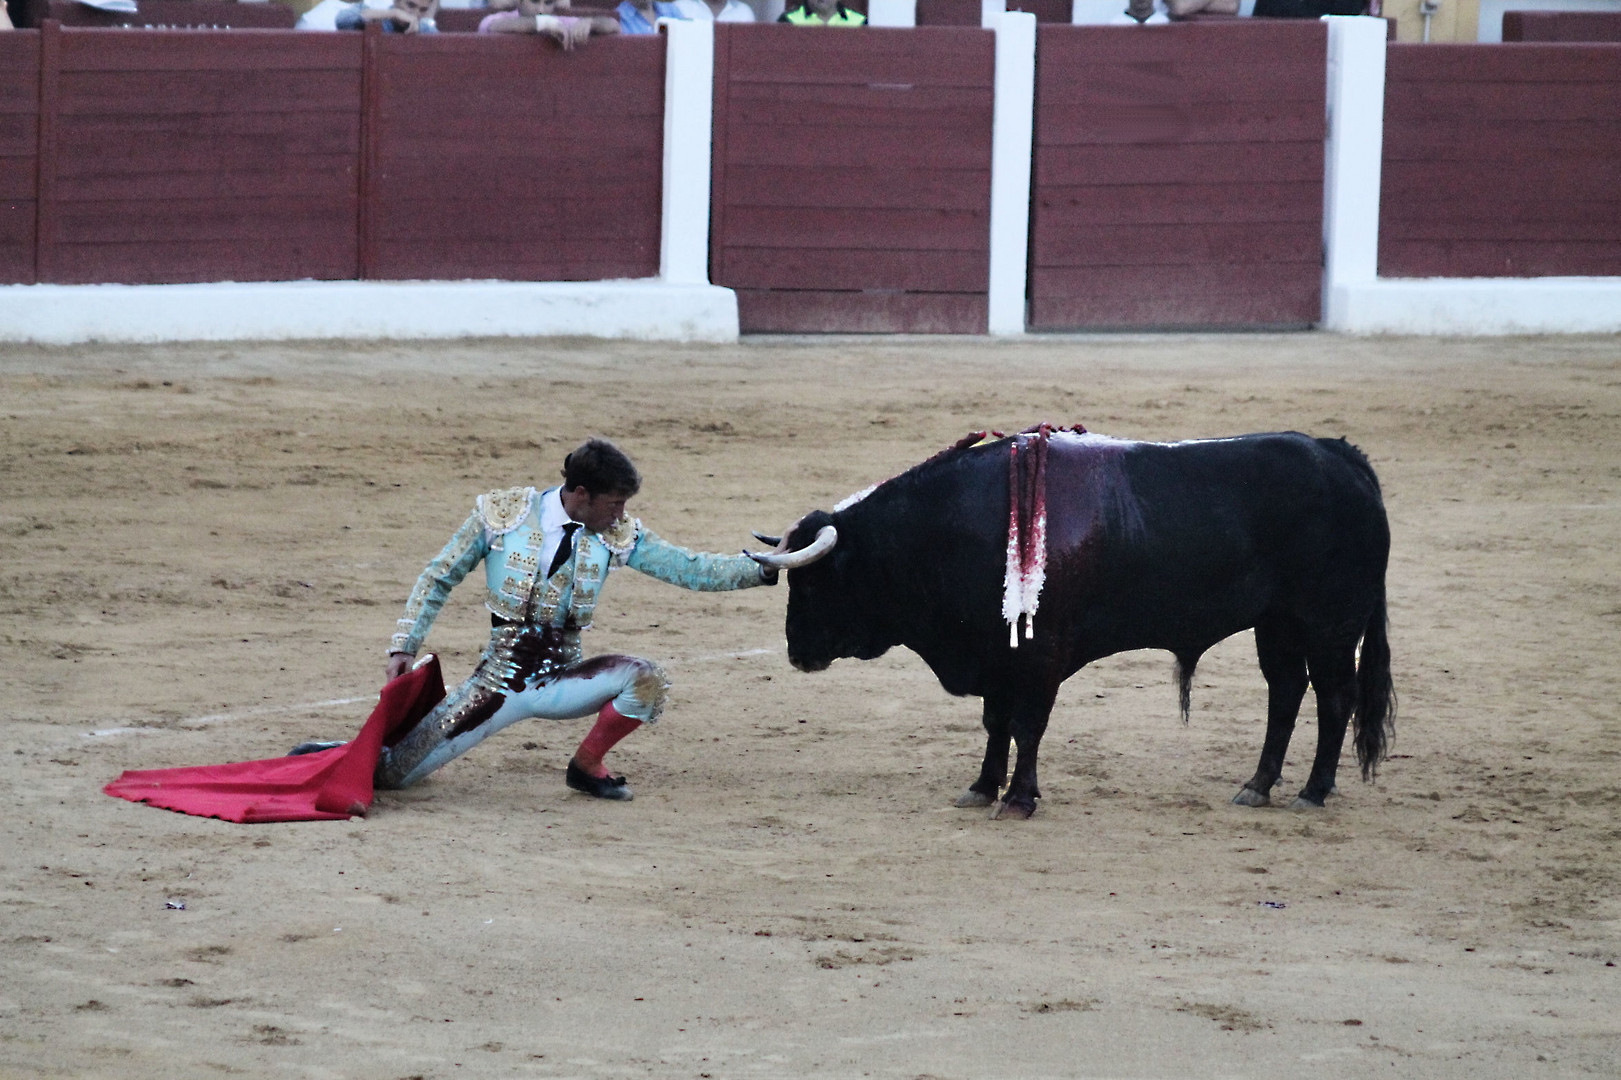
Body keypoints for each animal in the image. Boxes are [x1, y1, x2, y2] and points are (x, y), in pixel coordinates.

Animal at [771, 428, 1394, 817]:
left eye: (814, 582)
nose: (796, 652)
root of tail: (1341, 455)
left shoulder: (1040, 655)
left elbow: (1027, 726)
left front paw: (1019, 799)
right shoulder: (996, 658)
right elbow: (996, 724)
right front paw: (982, 787)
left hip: (1330, 625)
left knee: (1334, 698)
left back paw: (1313, 792)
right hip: (1279, 625)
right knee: (1286, 692)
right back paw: (1257, 787)